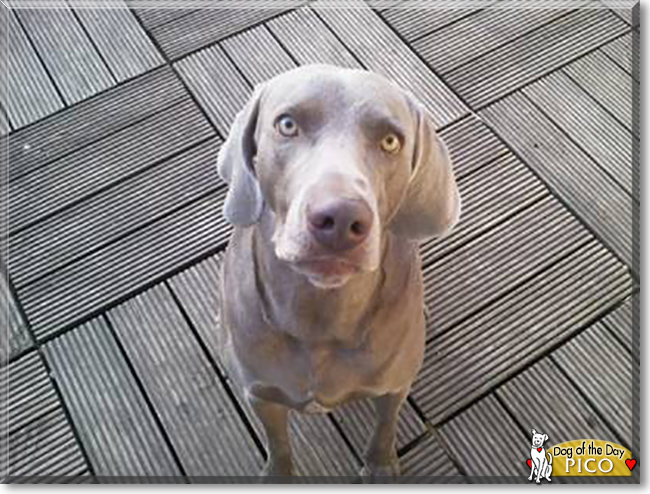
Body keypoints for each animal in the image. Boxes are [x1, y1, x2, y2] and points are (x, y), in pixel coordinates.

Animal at [215, 63, 458, 476]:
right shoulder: (261, 393)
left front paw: (380, 466)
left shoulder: (394, 385)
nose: (341, 219)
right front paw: (278, 474)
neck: (318, 315)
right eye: (287, 124)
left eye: (390, 141)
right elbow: (278, 443)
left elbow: (385, 425)